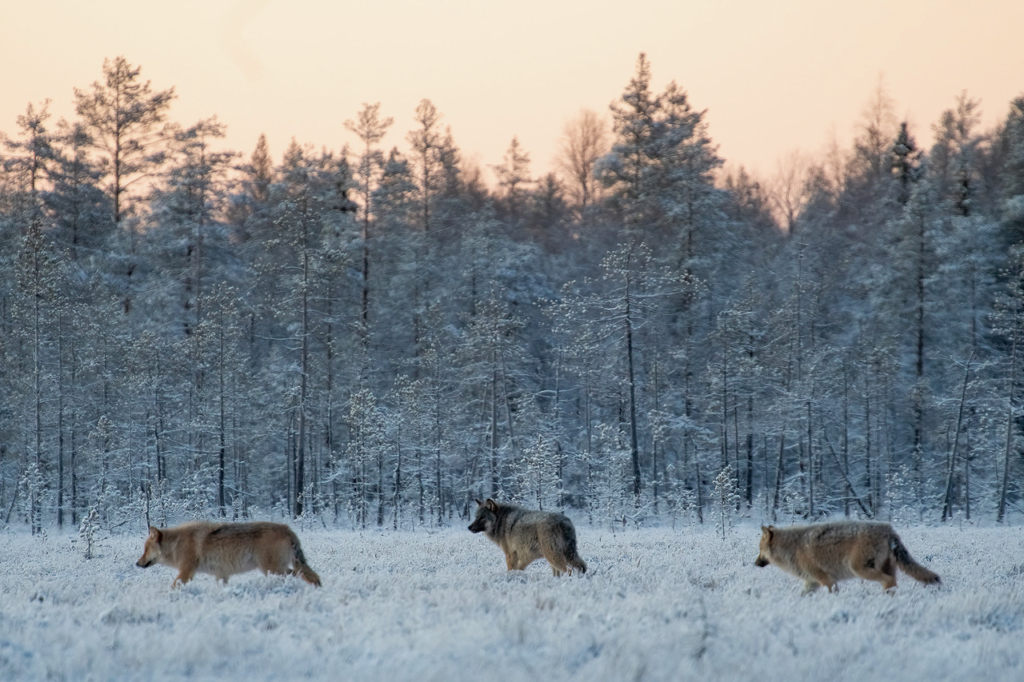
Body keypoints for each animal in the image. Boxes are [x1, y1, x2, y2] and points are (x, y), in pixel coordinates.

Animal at [135, 520, 319, 585]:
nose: (137, 563)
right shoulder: (221, 574)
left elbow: (173, 587)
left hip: (272, 569)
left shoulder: (186, 572)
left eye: (145, 549)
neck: (176, 544)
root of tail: (288, 528)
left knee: (300, 573)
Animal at [757, 518, 937, 593]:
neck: (792, 548)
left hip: (860, 570)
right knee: (892, 583)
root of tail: (890, 531)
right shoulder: (812, 583)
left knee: (888, 581)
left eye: (759, 549)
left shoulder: (827, 581)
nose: (755, 563)